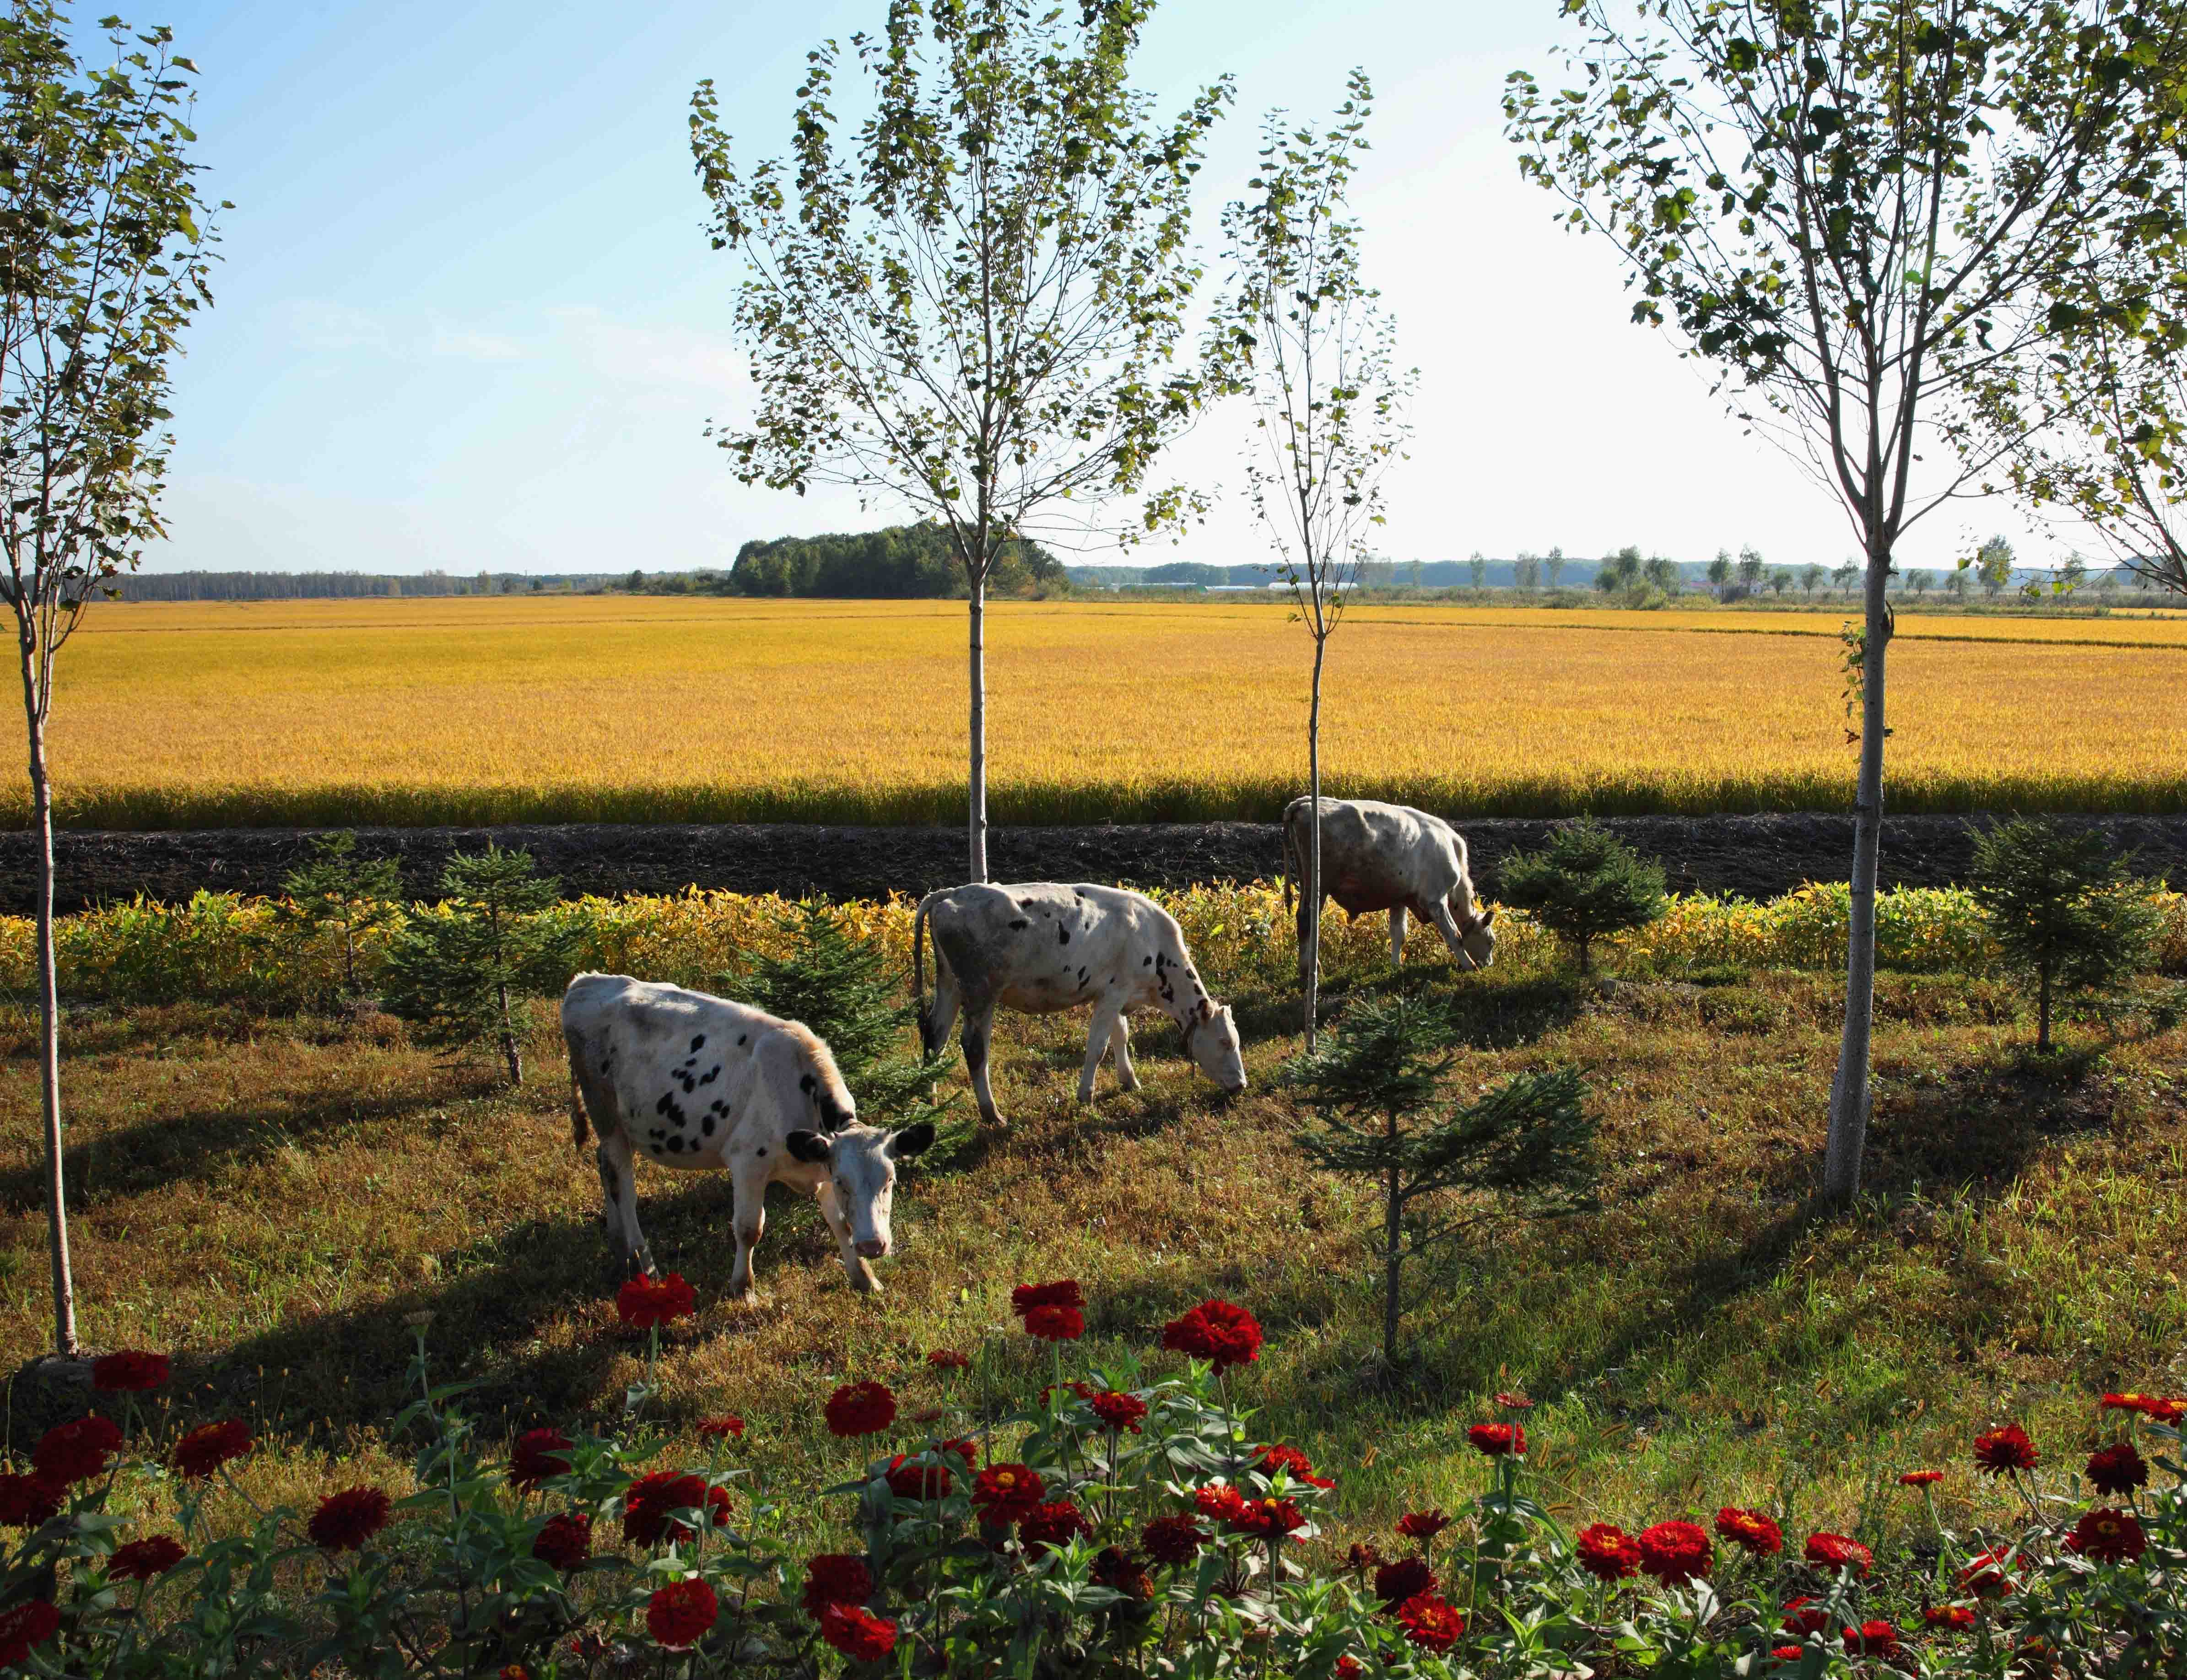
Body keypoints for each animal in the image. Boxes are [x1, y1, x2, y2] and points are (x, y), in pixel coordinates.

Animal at [555, 971, 931, 1295]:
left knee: (605, 1168)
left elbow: (840, 1222)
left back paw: (619, 1247)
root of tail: (587, 981)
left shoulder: (822, 1159)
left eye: (890, 1181)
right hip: (607, 1116)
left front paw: (864, 1278)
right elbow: (750, 1228)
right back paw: (643, 1262)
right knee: (622, 1185)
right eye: (844, 1182)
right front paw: (743, 1288)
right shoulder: (749, 1163)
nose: (873, 1245)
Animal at [910, 879, 1251, 1129]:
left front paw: (1130, 1081)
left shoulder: (1114, 996)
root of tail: (951, 893)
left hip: (949, 985)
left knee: (935, 1037)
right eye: (1225, 1041)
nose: (1242, 1085)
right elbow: (1097, 1047)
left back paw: (930, 1100)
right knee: (973, 1047)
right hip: (981, 992)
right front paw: (1086, 1095)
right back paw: (992, 1114)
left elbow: (1121, 1036)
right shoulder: (1114, 993)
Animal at [1277, 796, 1504, 980]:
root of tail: (1305, 803)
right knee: (1307, 920)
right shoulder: (1435, 900)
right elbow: (1454, 935)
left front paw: (1396, 965)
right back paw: (1309, 969)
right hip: (1319, 885)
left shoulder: (1400, 899)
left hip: (1307, 884)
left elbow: (1398, 933)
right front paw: (1470, 965)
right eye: (1491, 942)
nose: (1489, 965)